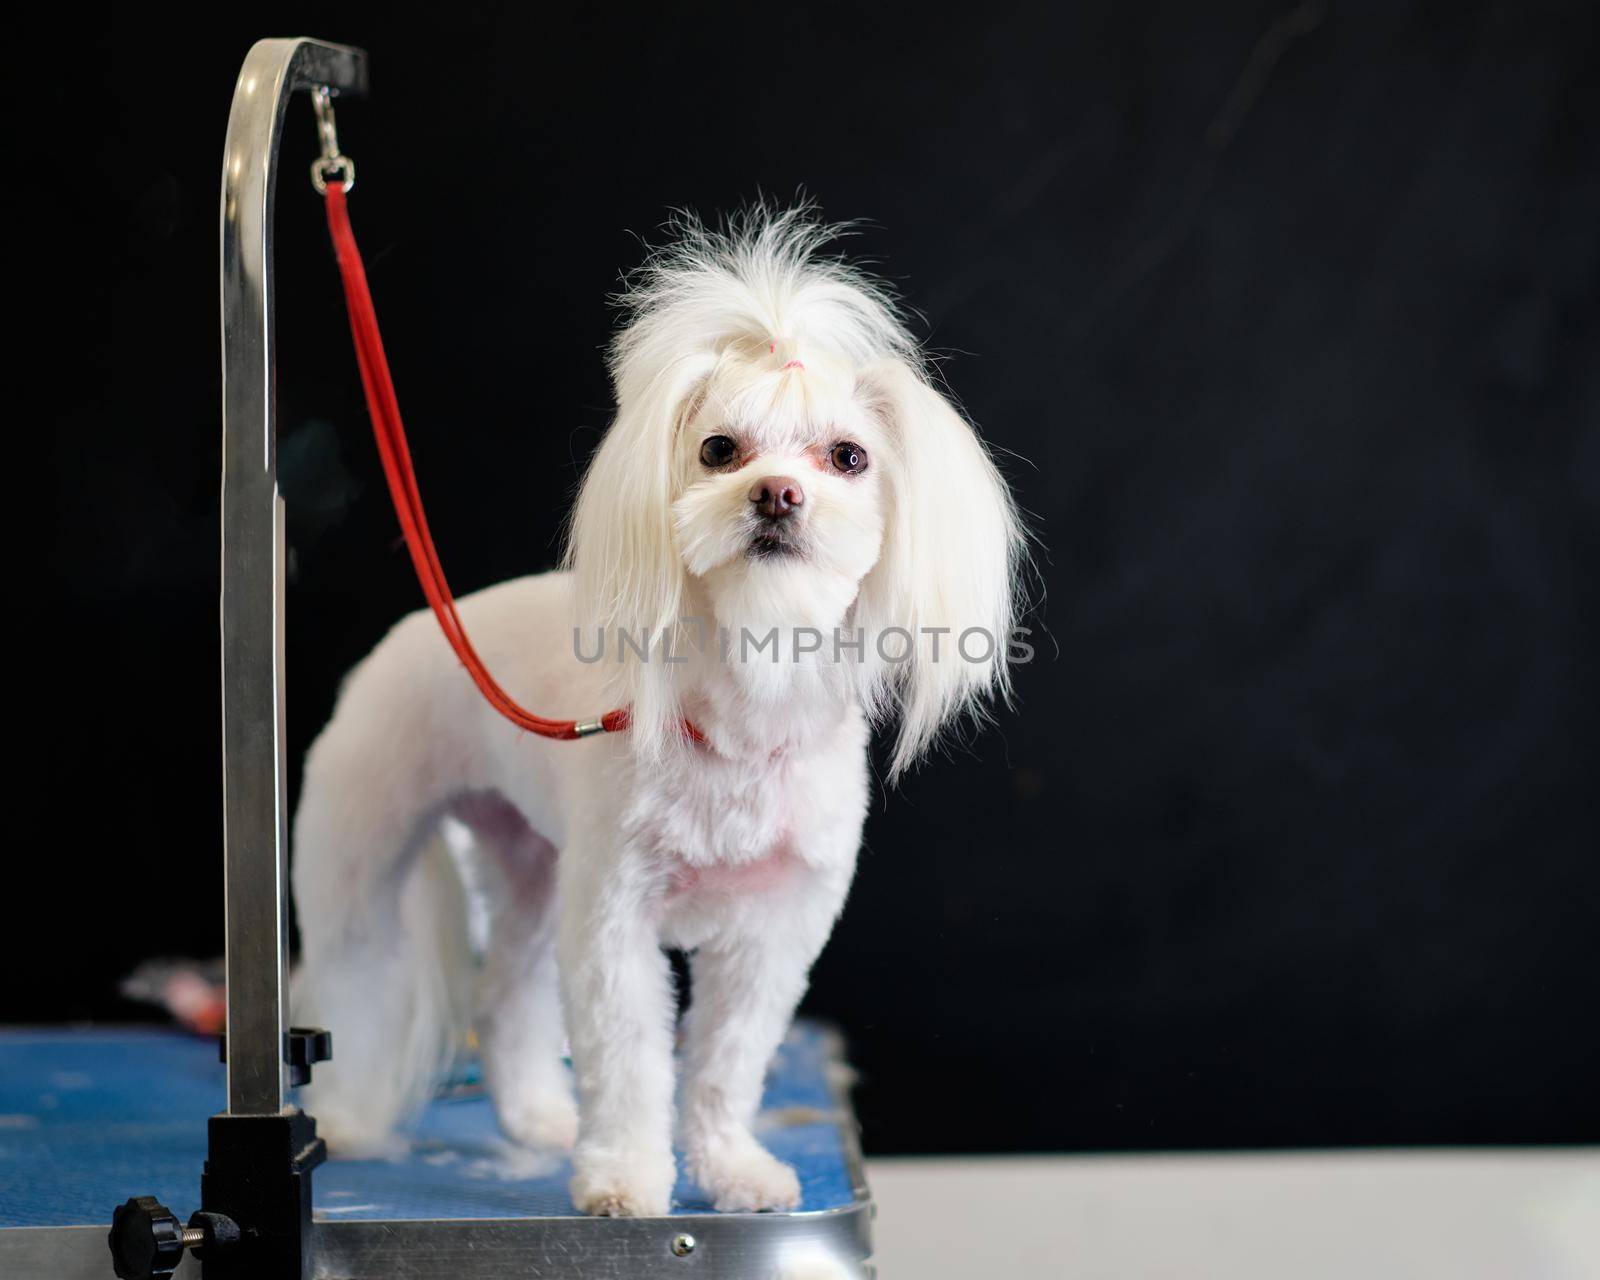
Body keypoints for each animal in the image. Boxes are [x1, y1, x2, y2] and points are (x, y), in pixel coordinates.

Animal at [292, 204, 1017, 1216]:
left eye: (848, 457)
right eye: (718, 450)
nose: (776, 493)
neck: (749, 703)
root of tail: (419, 631)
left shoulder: (775, 932)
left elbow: (726, 1062)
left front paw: (732, 1168)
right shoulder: (615, 919)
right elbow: (632, 1061)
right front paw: (625, 1179)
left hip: (532, 868)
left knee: (508, 998)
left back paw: (538, 1120)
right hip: (363, 860)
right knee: (357, 991)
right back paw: (355, 1119)